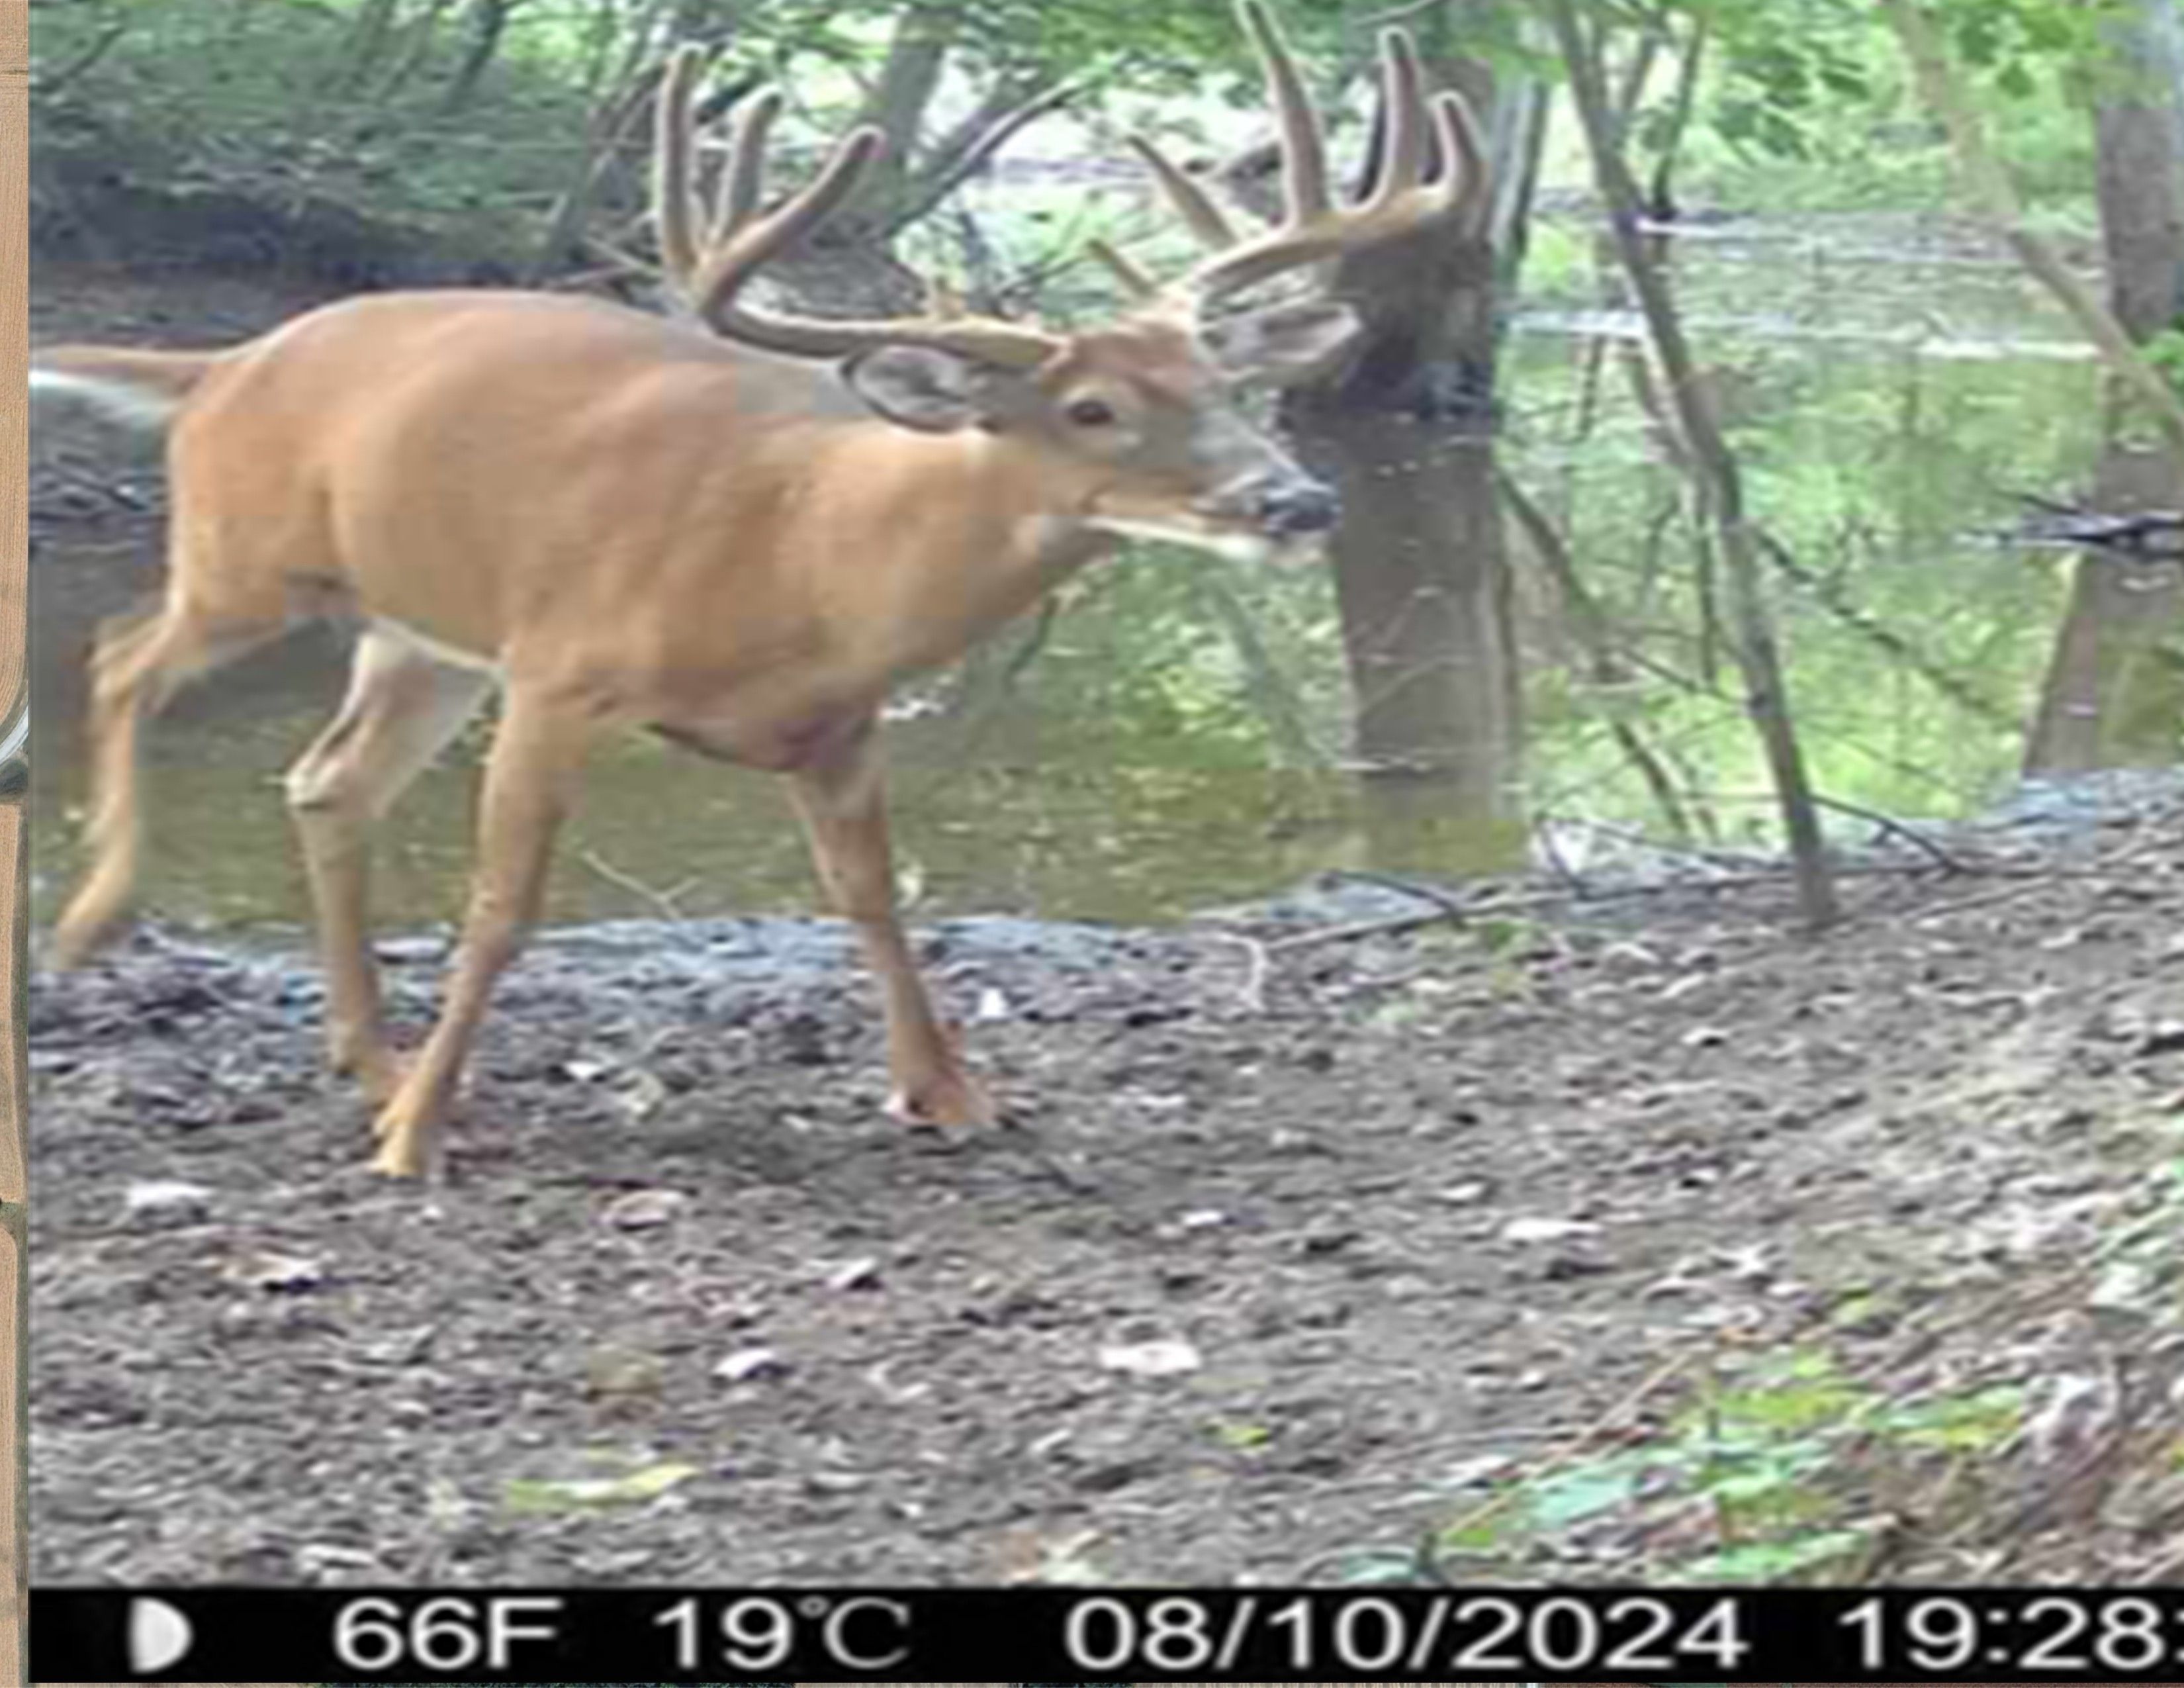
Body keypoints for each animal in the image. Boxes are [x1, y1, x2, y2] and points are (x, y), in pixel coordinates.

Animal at [30, 0, 1486, 1178]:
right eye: (1091, 409)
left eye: (1225, 384)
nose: (1298, 502)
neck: (812, 556)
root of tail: (222, 365)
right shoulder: (560, 672)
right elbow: (503, 913)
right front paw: (417, 1141)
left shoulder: (836, 727)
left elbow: (877, 901)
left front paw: (954, 1095)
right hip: (252, 561)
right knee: (119, 654)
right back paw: (100, 925)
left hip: (422, 635)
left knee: (324, 780)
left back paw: (369, 1058)